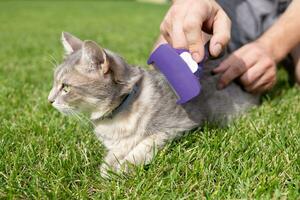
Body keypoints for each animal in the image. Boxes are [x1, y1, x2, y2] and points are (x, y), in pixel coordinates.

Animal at [48, 31, 258, 177]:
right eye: (54, 82)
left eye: (65, 87)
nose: (49, 100)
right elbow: (118, 149)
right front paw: (109, 166)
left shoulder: (176, 126)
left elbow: (144, 144)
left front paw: (123, 167)